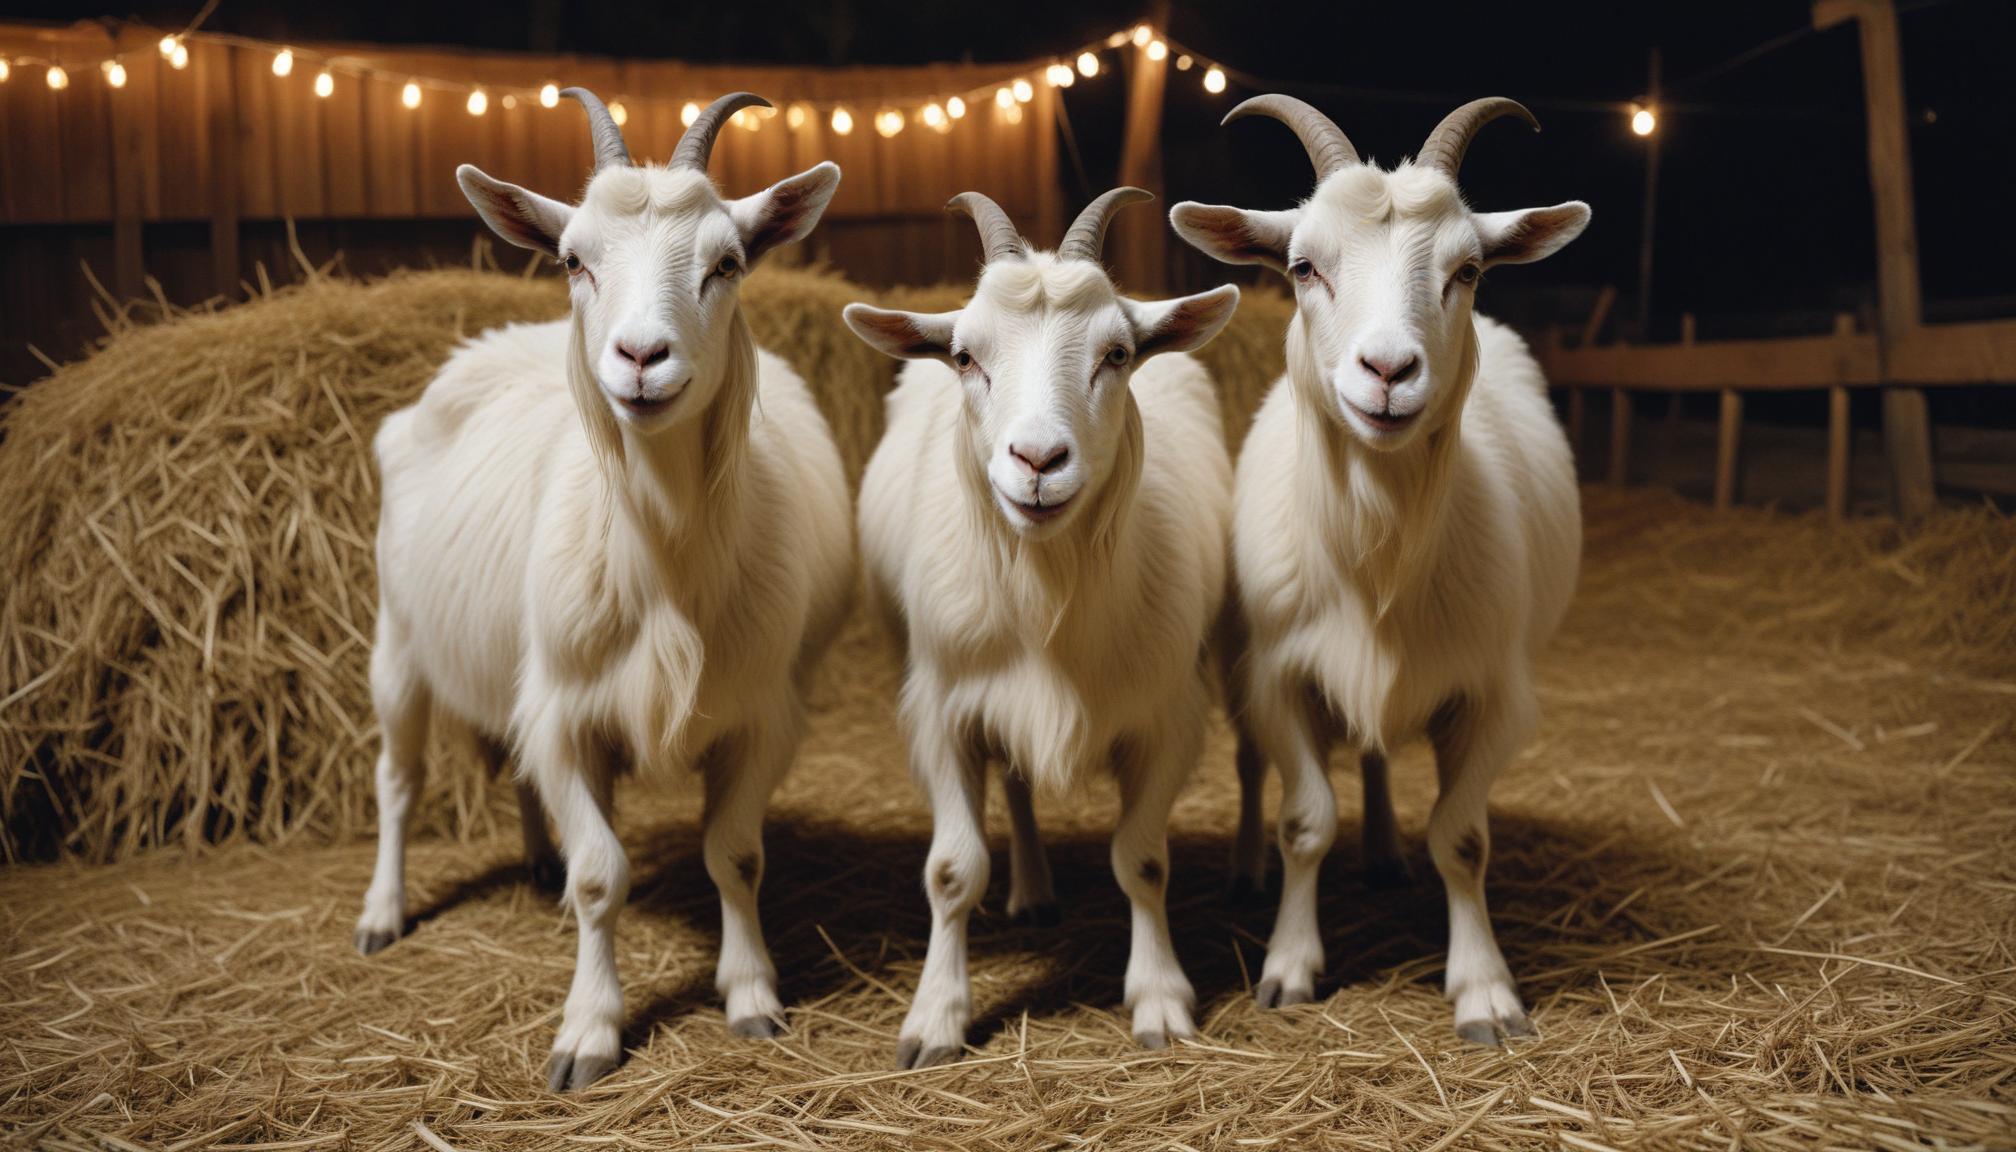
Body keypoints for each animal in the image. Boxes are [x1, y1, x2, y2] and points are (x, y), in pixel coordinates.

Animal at [353, 91, 852, 1090]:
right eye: (573, 259)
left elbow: (735, 855)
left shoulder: (761, 714)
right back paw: (383, 913)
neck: (665, 559)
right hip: (400, 641)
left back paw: (534, 865)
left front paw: (750, 994)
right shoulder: (565, 710)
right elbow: (601, 875)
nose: (640, 357)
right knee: (399, 777)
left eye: (728, 262)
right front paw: (588, 1030)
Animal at [844, 189, 1240, 1067]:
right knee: (1019, 785)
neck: (1048, 588)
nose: (1037, 460)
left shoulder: (1167, 716)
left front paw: (1159, 998)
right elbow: (953, 870)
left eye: (1118, 354)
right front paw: (935, 1017)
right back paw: (1029, 890)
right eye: (965, 357)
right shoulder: (942, 712)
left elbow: (1143, 860)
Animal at [1172, 95, 1589, 1045]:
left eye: (1468, 269)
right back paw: (1248, 869)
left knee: (1373, 756)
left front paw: (1484, 989)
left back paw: (1390, 853)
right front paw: (1290, 964)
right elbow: (1303, 821)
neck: (1380, 554)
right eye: (1302, 267)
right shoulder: (1280, 674)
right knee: (1251, 768)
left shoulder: (1494, 693)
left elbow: (1462, 839)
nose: (1389, 371)